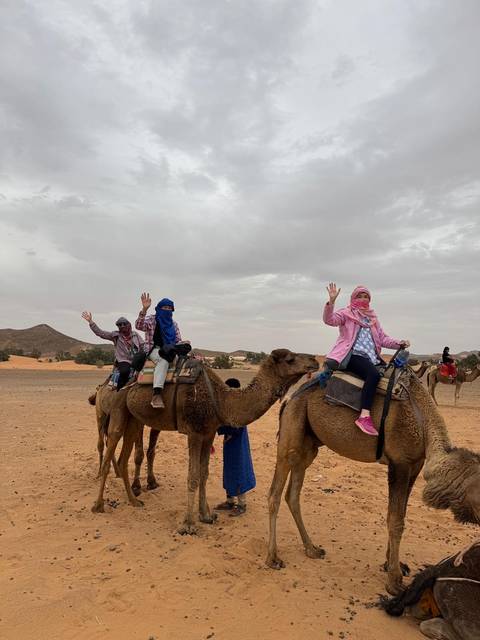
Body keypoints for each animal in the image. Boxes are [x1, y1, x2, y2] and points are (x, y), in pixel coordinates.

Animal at [91, 349, 319, 534]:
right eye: (290, 359)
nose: (315, 361)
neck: (220, 399)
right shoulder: (194, 432)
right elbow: (192, 477)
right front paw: (189, 525)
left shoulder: (208, 433)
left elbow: (204, 474)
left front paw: (206, 516)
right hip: (117, 410)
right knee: (109, 451)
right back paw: (98, 505)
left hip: (133, 419)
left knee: (123, 458)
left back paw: (134, 500)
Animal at [266, 371, 480, 595]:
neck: (422, 420)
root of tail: (289, 399)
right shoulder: (399, 463)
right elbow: (395, 520)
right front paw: (394, 581)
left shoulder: (415, 466)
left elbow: (399, 514)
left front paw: (393, 565)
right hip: (291, 433)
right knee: (275, 493)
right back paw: (273, 558)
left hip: (309, 446)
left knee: (293, 494)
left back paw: (312, 549)